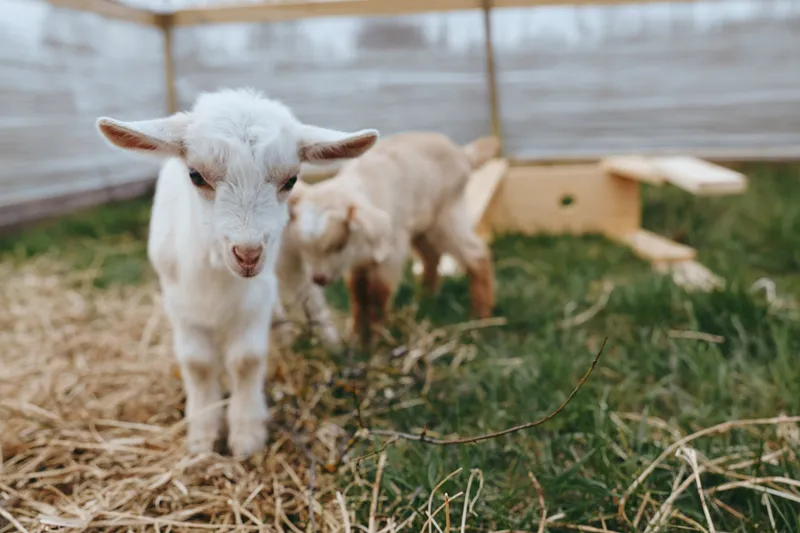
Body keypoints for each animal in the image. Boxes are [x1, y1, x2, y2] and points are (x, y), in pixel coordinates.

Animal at [95, 88, 378, 457]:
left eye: (291, 179)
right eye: (196, 175)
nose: (248, 254)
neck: (215, 276)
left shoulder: (257, 295)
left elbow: (246, 360)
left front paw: (246, 436)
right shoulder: (178, 301)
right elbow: (198, 364)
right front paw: (202, 438)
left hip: (287, 257)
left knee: (308, 294)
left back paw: (329, 343)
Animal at [285, 131, 498, 345]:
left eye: (338, 245)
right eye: (303, 249)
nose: (318, 279)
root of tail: (463, 154)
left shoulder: (391, 254)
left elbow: (378, 296)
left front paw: (376, 342)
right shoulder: (356, 264)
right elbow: (357, 295)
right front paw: (355, 337)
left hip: (447, 214)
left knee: (476, 253)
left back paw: (481, 319)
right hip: (422, 227)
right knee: (431, 256)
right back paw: (425, 297)